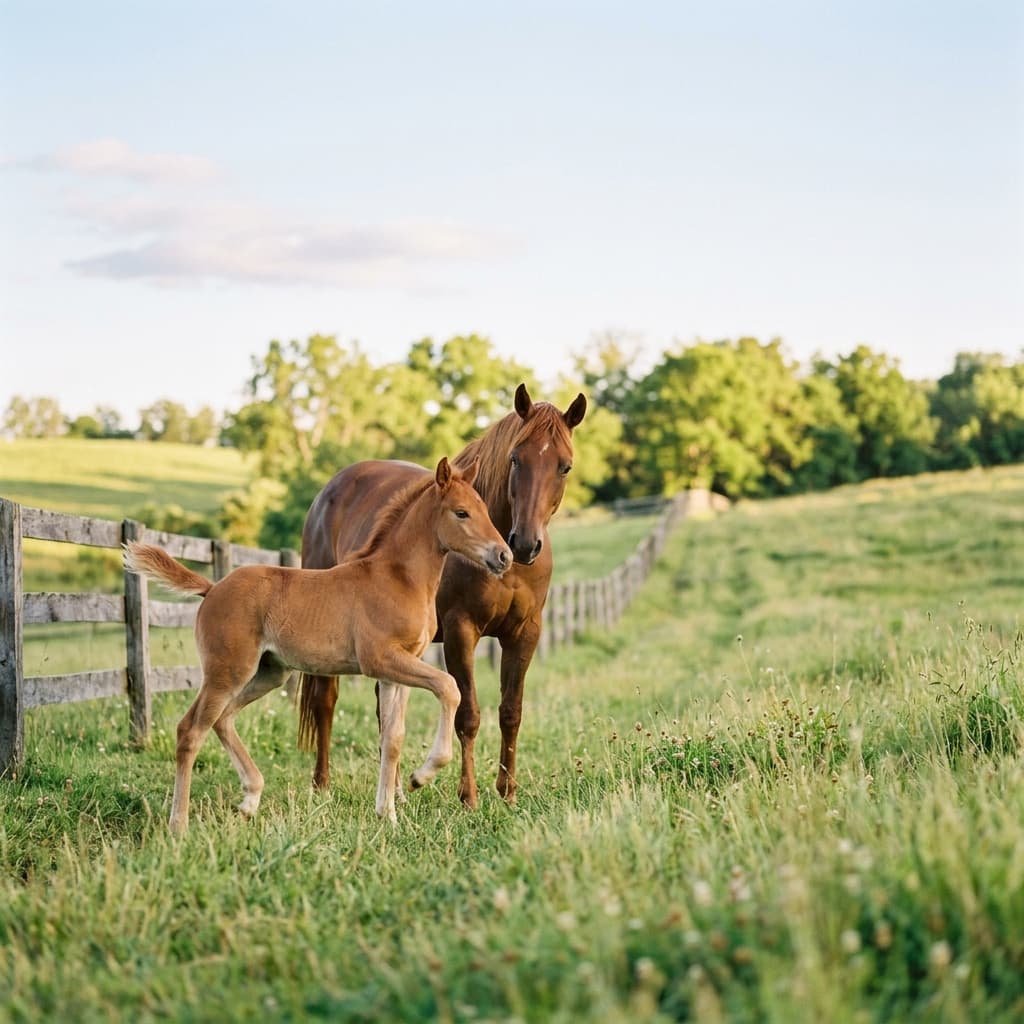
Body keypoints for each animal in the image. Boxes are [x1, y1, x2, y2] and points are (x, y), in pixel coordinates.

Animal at [124, 457, 512, 834]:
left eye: (485, 509)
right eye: (461, 512)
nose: (504, 556)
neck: (398, 578)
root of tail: (212, 587)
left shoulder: (396, 670)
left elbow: (393, 737)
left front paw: (387, 814)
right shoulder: (380, 659)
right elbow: (449, 688)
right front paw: (421, 777)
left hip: (268, 673)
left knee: (223, 719)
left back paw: (250, 799)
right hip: (228, 671)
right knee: (191, 730)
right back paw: (179, 825)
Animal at [299, 383, 587, 807]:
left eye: (564, 466)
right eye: (515, 459)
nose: (523, 544)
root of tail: (329, 491)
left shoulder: (525, 633)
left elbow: (511, 712)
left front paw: (507, 792)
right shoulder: (460, 632)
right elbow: (467, 715)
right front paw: (468, 797)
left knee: (385, 711)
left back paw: (395, 792)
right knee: (325, 700)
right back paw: (321, 785)